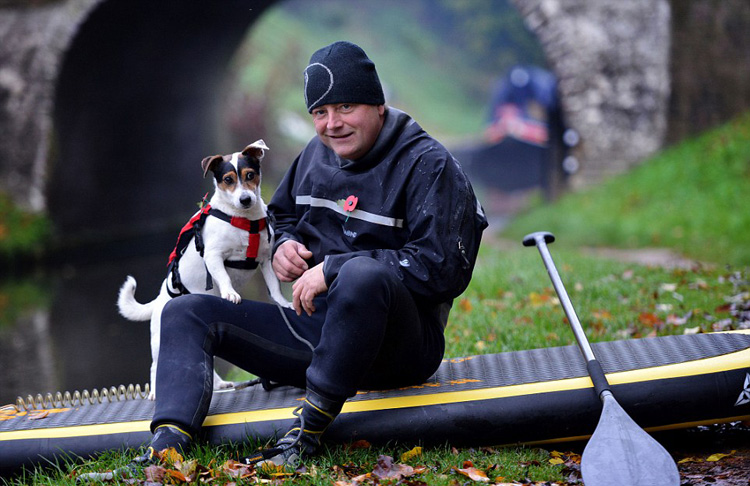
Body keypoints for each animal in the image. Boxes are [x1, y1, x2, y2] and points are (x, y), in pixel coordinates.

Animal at [117, 140, 290, 398]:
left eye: (250, 175)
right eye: (228, 179)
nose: (245, 199)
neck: (243, 220)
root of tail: (158, 301)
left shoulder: (266, 259)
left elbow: (275, 287)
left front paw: (283, 303)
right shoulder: (213, 257)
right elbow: (224, 278)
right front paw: (230, 294)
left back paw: (219, 384)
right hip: (160, 341)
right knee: (155, 366)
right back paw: (155, 392)